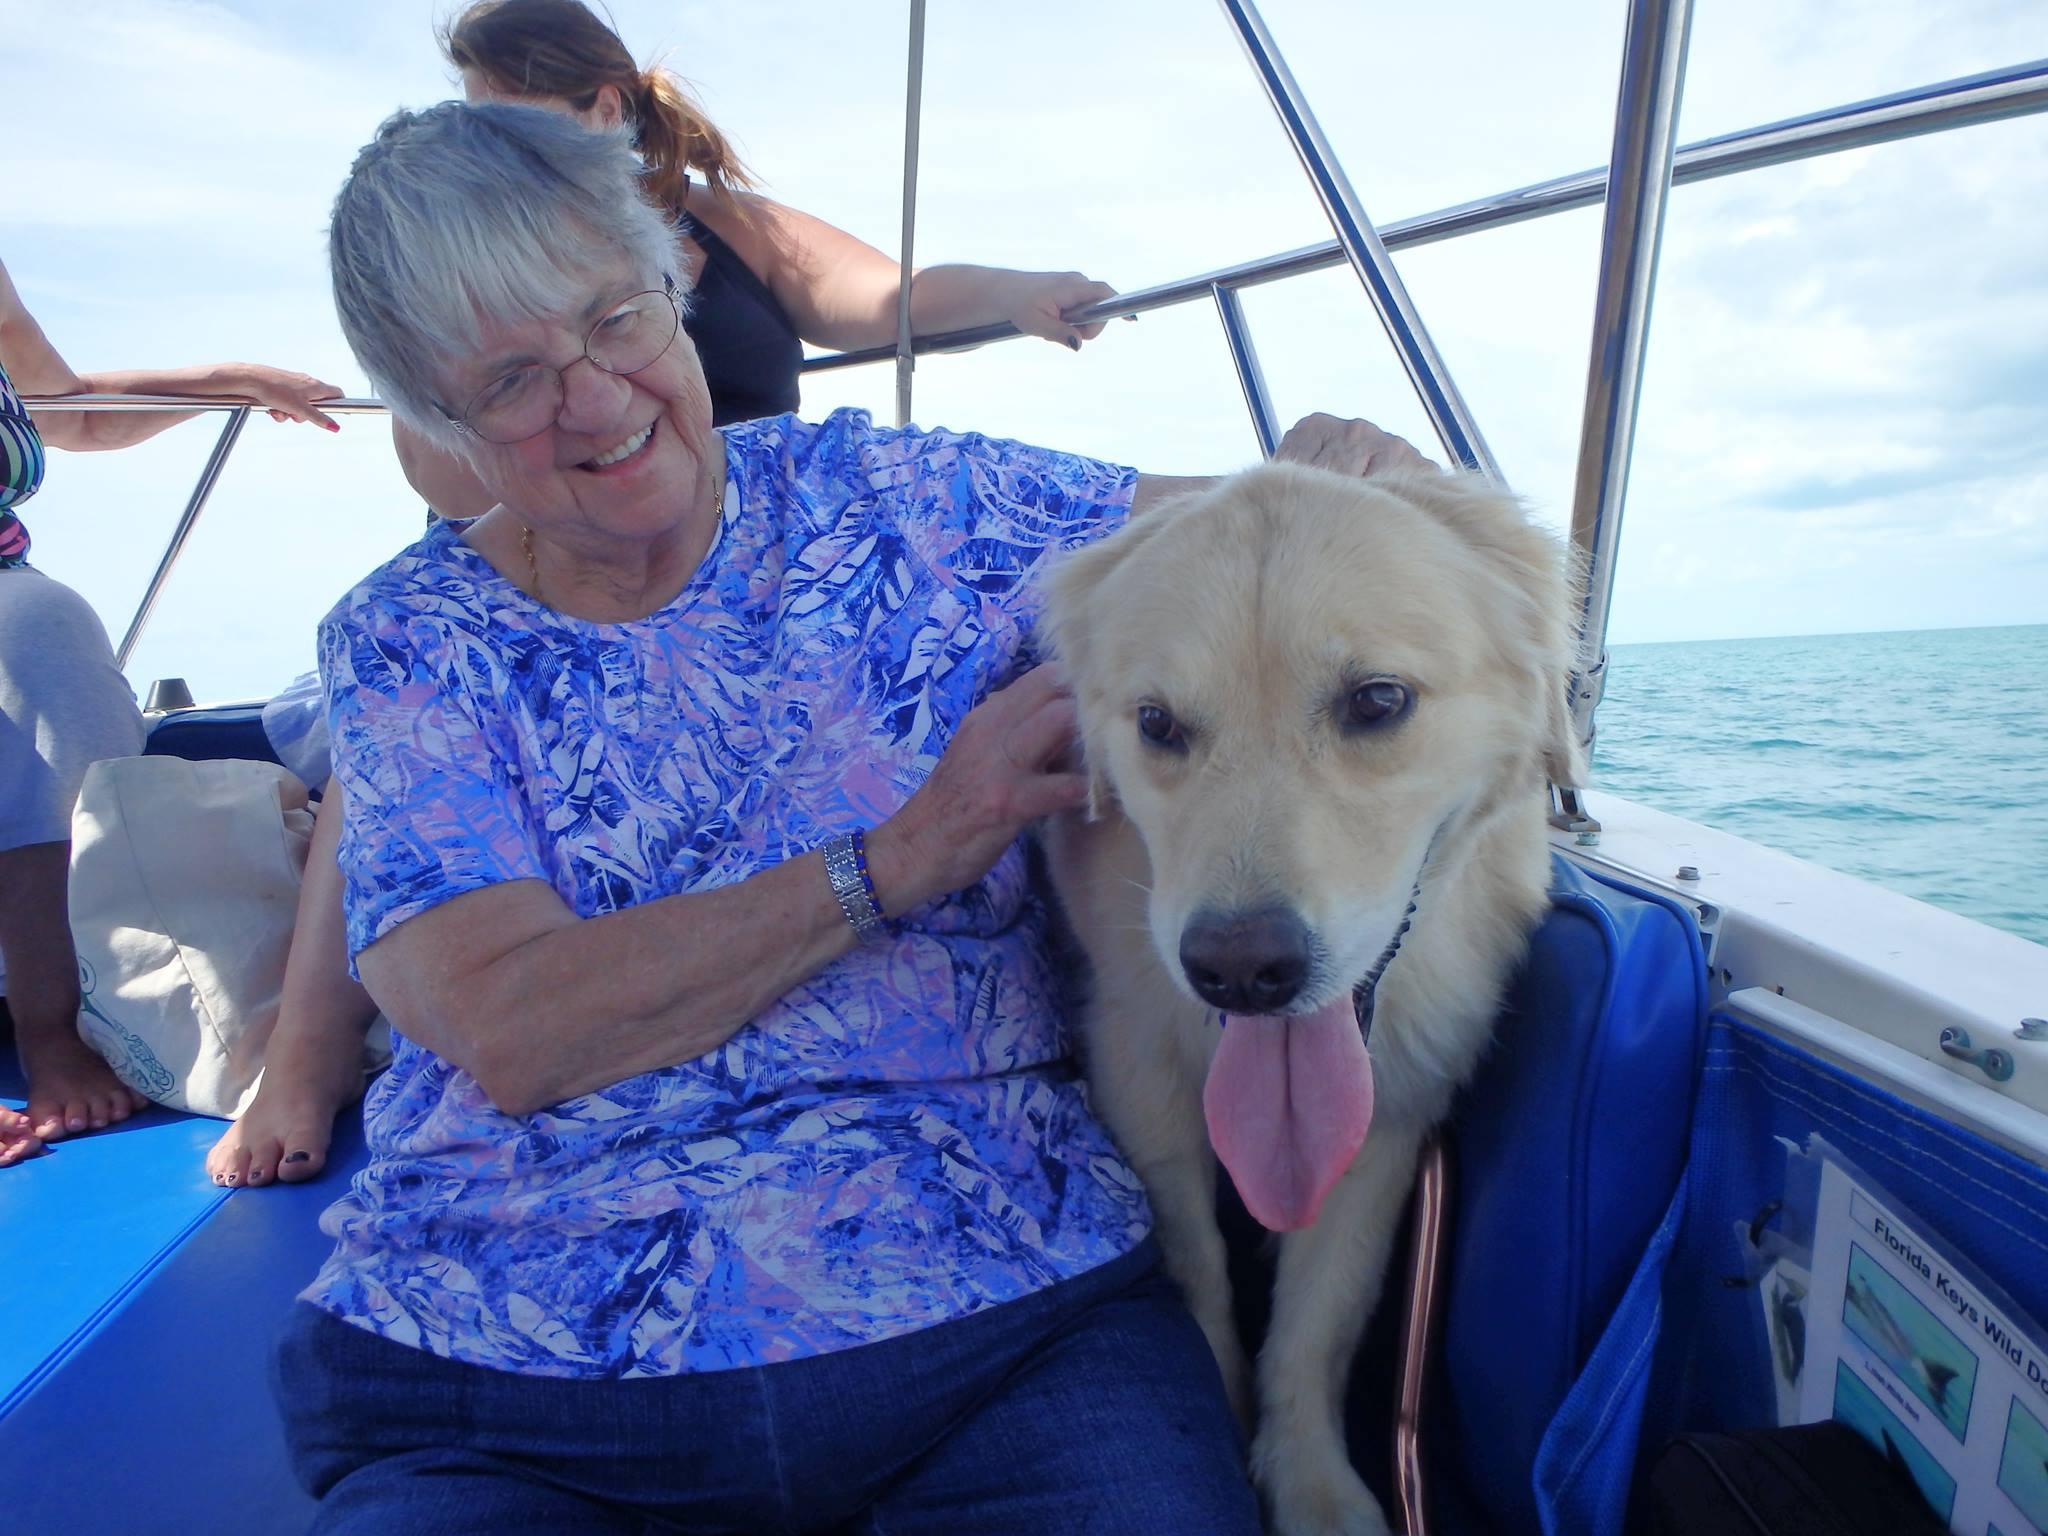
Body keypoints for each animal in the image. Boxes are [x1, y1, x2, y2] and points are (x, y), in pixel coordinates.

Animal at [1048, 462, 1572, 1536]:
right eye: (1157, 723)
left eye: (1377, 700)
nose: (1241, 971)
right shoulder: (1138, 1072)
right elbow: (1195, 1262)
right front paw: (1221, 1400)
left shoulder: (1390, 1121)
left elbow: (1320, 1319)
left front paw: (1308, 1481)